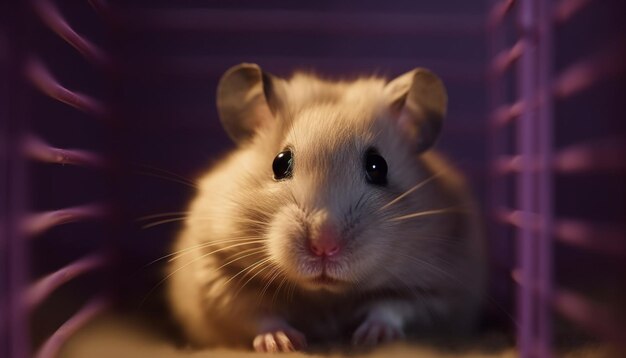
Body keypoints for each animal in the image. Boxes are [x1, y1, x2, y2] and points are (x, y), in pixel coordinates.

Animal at [167, 63, 488, 352]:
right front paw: (284, 343)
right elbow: (255, 315)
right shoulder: (217, 274)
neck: (326, 295)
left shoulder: (442, 286)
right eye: (280, 163)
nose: (323, 247)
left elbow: (394, 307)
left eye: (378, 166)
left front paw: (369, 337)